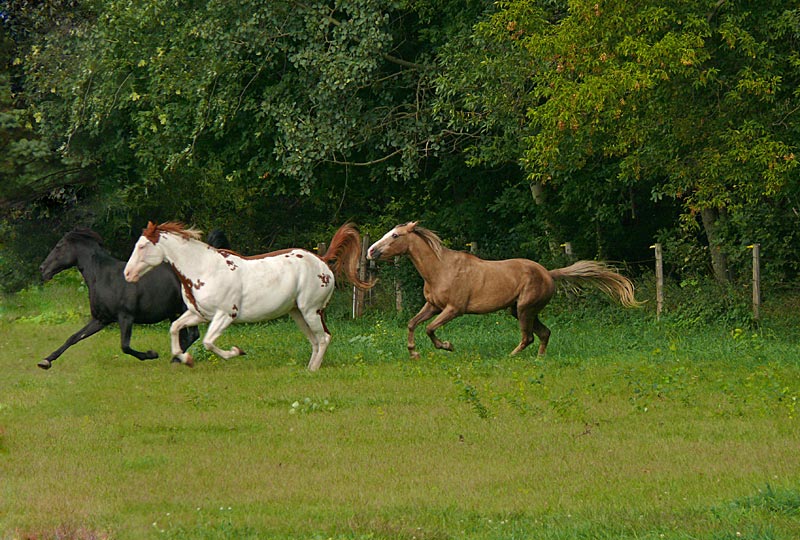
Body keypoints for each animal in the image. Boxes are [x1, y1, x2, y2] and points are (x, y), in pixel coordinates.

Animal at [37, 228, 203, 370]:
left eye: (59, 246)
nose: (42, 269)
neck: (103, 277)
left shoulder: (125, 317)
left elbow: (125, 346)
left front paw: (151, 354)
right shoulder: (101, 319)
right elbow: (74, 337)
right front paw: (45, 361)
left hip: (187, 310)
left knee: (193, 335)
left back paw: (176, 359)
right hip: (174, 313)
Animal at [123, 221, 375, 370]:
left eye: (143, 246)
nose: (127, 274)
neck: (204, 268)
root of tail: (322, 260)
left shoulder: (225, 314)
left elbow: (208, 342)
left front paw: (236, 351)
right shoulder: (199, 314)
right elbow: (175, 328)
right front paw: (186, 359)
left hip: (311, 310)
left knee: (324, 339)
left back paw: (312, 371)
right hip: (298, 313)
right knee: (315, 340)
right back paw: (309, 369)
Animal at [367, 221, 641, 358]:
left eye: (395, 236)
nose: (371, 251)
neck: (441, 268)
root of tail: (549, 273)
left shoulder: (454, 309)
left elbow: (429, 328)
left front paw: (447, 346)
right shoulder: (433, 305)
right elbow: (413, 323)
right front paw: (413, 352)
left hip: (525, 308)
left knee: (529, 337)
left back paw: (511, 356)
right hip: (519, 310)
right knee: (544, 333)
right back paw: (539, 359)